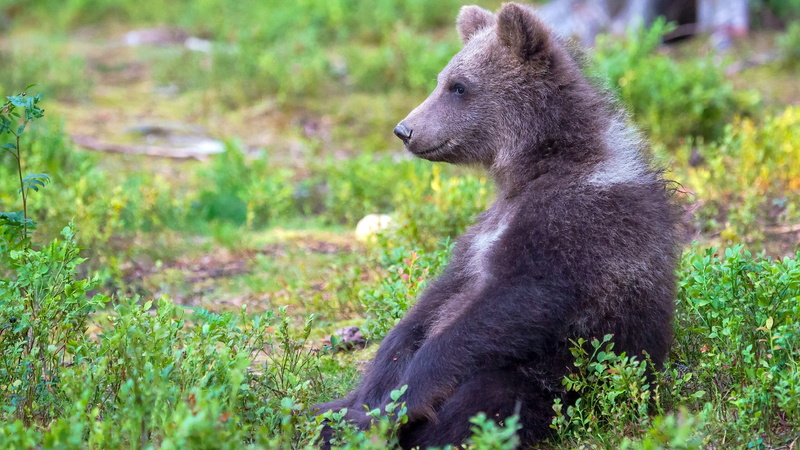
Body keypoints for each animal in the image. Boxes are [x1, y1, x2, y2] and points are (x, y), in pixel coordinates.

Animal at [315, 3, 679, 448]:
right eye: (441, 79)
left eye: (459, 86)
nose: (405, 129)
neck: (535, 167)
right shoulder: (482, 234)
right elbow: (428, 307)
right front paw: (372, 397)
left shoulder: (578, 224)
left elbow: (514, 302)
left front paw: (396, 405)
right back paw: (323, 413)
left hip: (561, 379)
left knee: (487, 400)